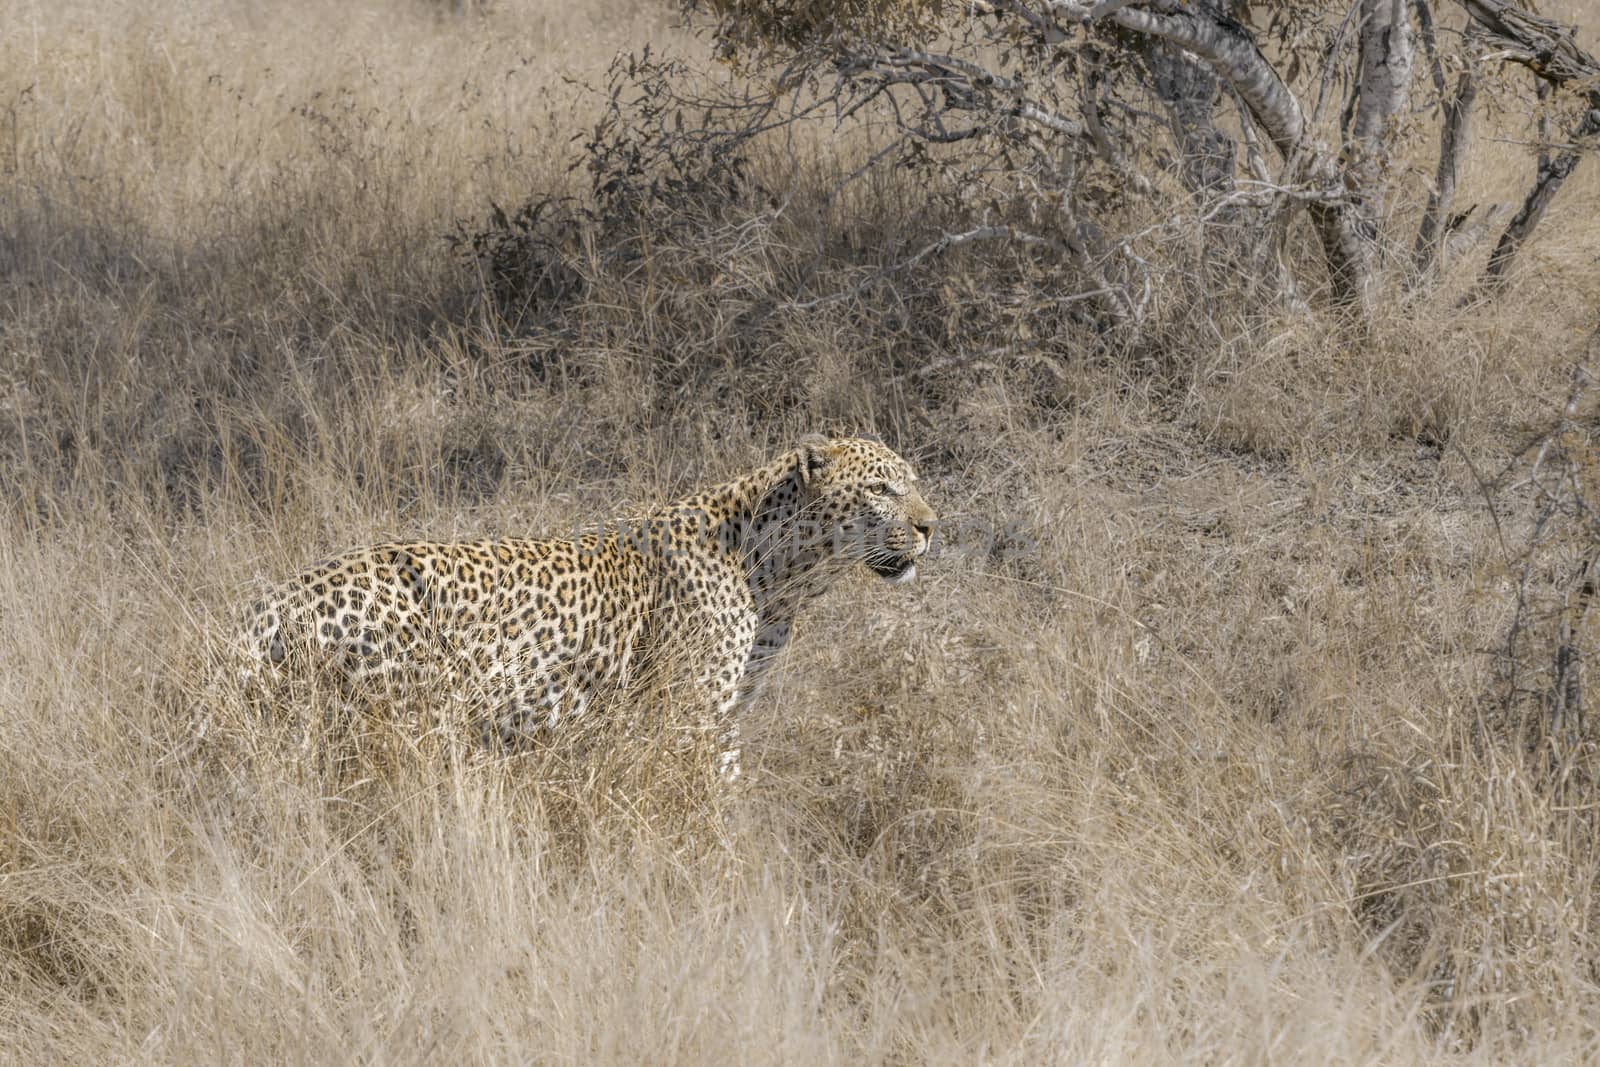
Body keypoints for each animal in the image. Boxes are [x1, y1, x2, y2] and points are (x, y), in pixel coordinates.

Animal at [238, 431, 934, 777]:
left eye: (915, 485)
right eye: (881, 489)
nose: (932, 526)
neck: (783, 577)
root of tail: (272, 602)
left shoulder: (728, 708)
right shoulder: (688, 711)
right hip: (406, 717)